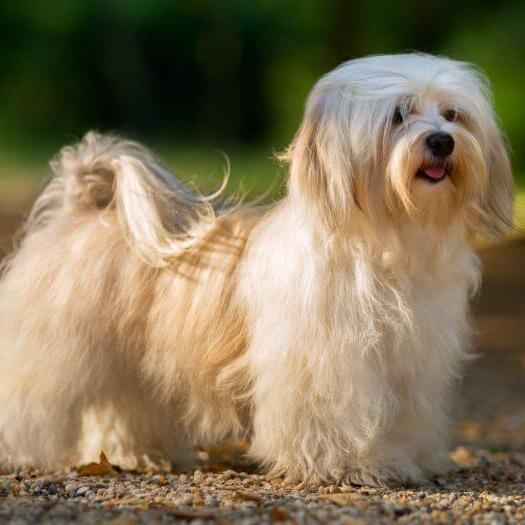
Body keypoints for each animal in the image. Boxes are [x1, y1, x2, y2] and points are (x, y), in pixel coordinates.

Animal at [0, 53, 512, 488]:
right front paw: (348, 467)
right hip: (53, 353)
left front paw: (404, 459)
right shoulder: (325, 363)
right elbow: (333, 416)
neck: (385, 241)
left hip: (131, 363)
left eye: (452, 114)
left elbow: (405, 415)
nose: (442, 141)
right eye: (398, 116)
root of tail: (82, 205)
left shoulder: (411, 363)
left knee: (125, 408)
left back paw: (142, 454)